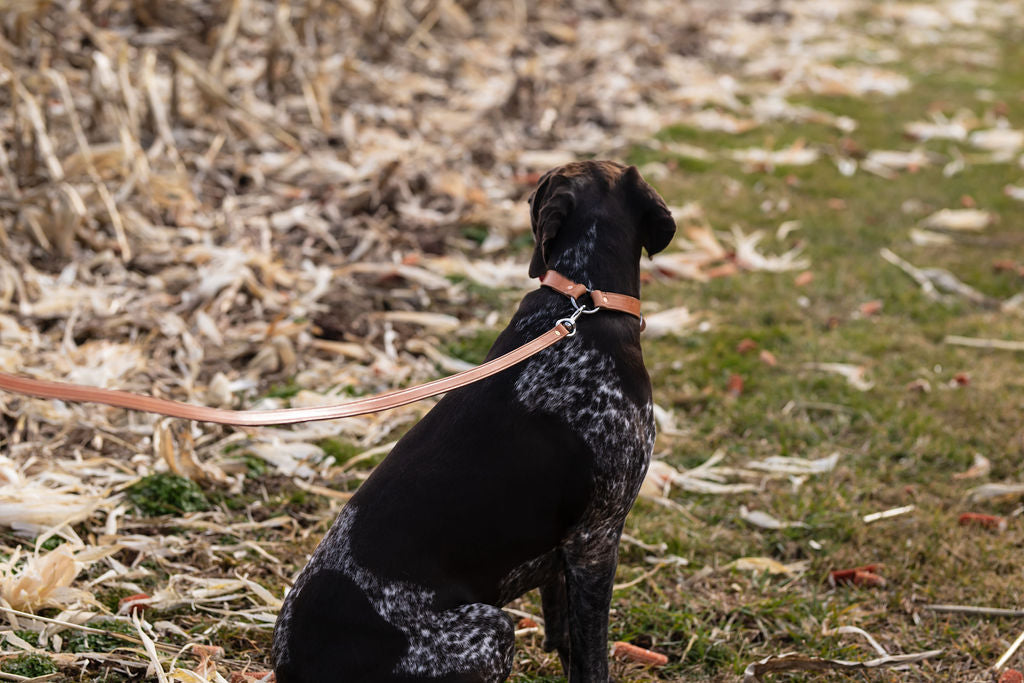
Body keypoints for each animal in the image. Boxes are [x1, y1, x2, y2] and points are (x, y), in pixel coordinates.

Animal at [270, 161, 679, 683]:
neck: (583, 301)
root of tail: (294, 667)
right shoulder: (596, 539)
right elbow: (592, 656)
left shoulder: (561, 553)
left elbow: (563, 635)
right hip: (492, 630)